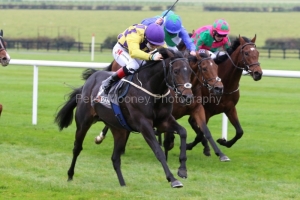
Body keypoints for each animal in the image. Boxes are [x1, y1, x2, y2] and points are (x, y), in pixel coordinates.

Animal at [54, 48, 193, 188]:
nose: (188, 97)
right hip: (84, 122)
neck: (152, 90)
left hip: (119, 129)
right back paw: (70, 175)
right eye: (176, 71)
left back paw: (123, 185)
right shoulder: (144, 125)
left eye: (190, 71)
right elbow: (158, 151)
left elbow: (183, 132)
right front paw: (173, 179)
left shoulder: (164, 121)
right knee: (77, 148)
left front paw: (182, 169)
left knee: (115, 158)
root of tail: (88, 82)